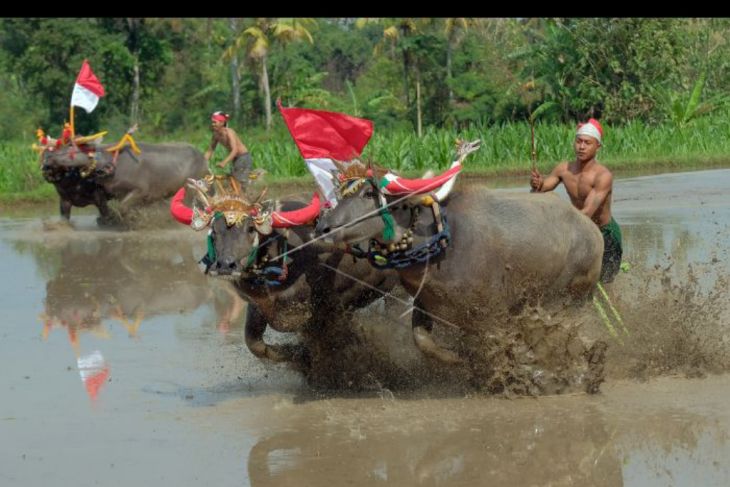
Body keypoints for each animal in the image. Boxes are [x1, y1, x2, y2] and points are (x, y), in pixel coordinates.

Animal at [41, 141, 206, 225]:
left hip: (191, 189)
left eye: (70, 145)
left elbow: (122, 207)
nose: (47, 152)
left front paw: (131, 219)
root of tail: (203, 156)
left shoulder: (140, 191)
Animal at [312, 160, 604, 388]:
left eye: (367, 194)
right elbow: (423, 341)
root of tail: (592, 230)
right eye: (342, 195)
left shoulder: (491, 312)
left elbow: (496, 347)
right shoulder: (426, 302)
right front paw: (458, 360)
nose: (323, 228)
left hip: (569, 297)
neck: (442, 241)